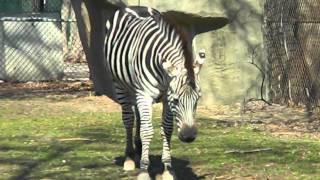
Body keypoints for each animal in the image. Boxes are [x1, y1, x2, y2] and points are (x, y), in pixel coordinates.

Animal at [104, 5, 228, 179]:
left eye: (197, 99)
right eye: (176, 100)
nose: (189, 136)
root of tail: (134, 6)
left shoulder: (165, 97)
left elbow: (167, 130)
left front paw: (167, 169)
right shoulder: (147, 95)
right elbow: (147, 131)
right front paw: (144, 170)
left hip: (135, 90)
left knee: (138, 117)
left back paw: (139, 148)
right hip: (120, 84)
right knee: (128, 118)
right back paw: (129, 157)